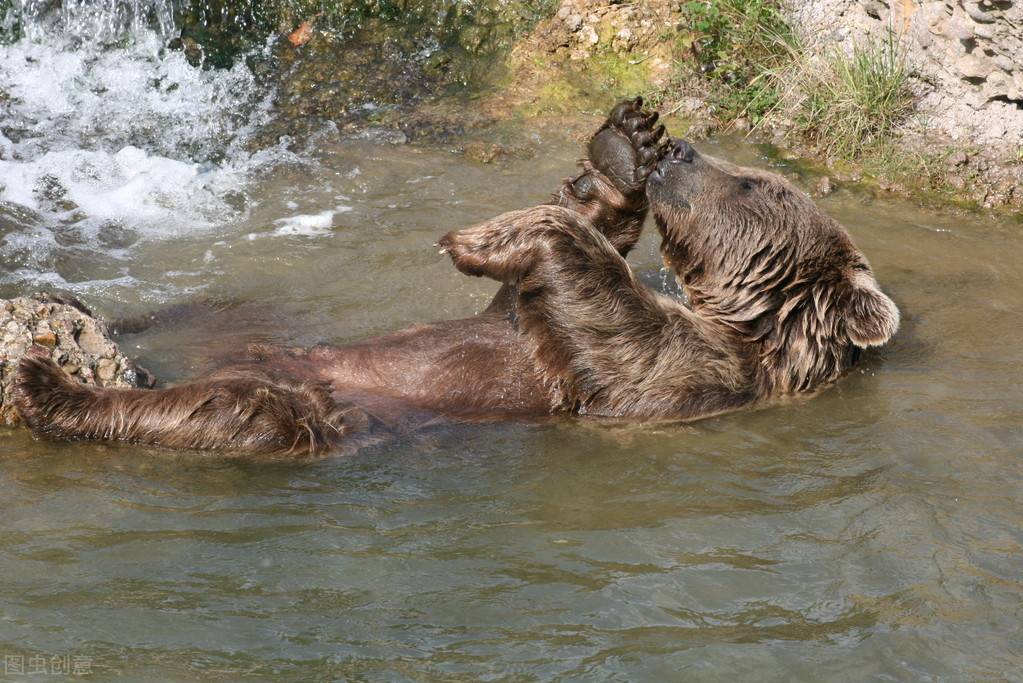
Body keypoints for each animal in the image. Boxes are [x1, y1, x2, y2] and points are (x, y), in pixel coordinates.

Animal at [12, 98, 900, 456]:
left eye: (753, 184)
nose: (680, 150)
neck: (735, 318)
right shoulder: (529, 319)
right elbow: (524, 294)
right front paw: (622, 147)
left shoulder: (691, 376)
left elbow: (605, 329)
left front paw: (473, 238)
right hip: (261, 327)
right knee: (216, 307)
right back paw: (90, 308)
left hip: (325, 416)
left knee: (232, 413)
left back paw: (47, 382)